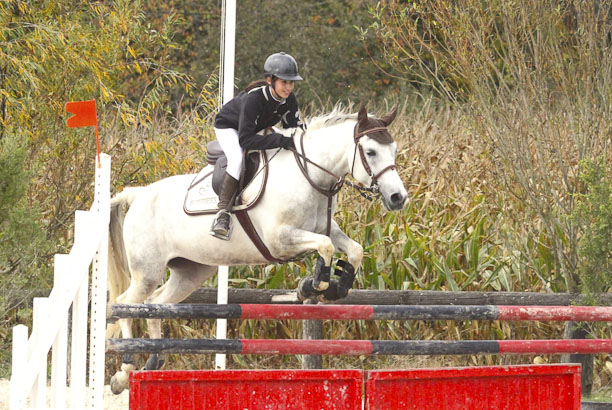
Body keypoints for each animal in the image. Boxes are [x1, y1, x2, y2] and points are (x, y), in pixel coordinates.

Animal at [107, 104, 408, 392]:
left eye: (394, 150)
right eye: (370, 151)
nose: (398, 198)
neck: (309, 175)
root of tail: (138, 194)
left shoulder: (326, 229)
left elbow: (353, 249)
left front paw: (336, 286)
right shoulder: (280, 239)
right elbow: (326, 247)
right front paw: (316, 284)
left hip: (190, 272)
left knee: (154, 305)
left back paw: (154, 359)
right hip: (147, 272)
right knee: (124, 303)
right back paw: (125, 370)